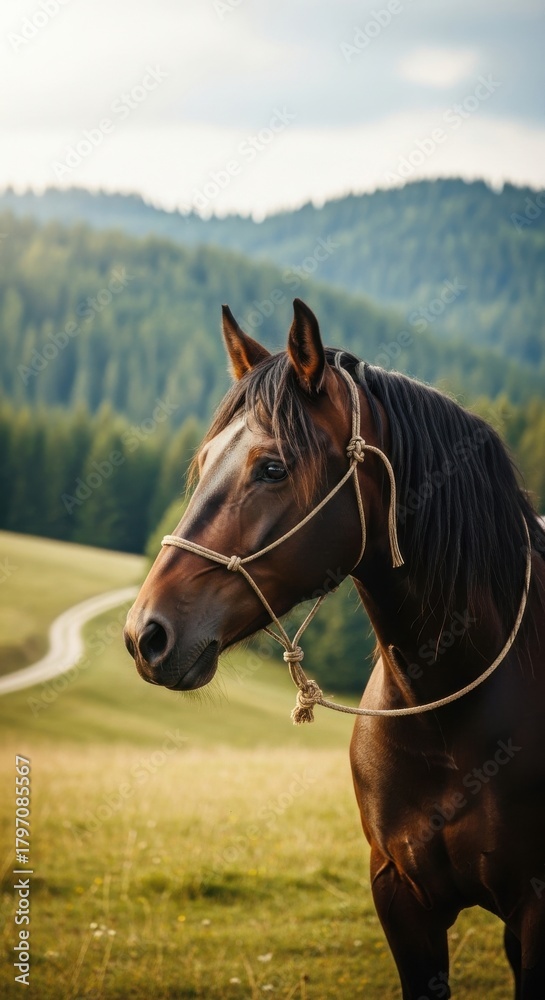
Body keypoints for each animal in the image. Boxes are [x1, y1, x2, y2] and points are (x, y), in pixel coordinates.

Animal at [124, 298, 545, 998]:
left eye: (272, 467)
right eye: (205, 461)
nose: (144, 634)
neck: (452, 712)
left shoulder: (535, 909)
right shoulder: (400, 895)